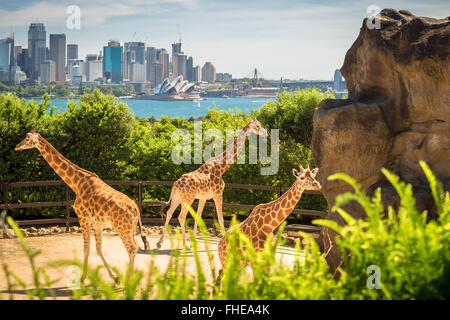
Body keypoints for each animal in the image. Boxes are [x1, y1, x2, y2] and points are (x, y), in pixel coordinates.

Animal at [14, 129, 149, 282]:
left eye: (27, 139)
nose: (17, 147)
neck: (76, 185)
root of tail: (136, 209)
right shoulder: (97, 222)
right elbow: (98, 248)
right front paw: (113, 277)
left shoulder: (82, 217)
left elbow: (86, 248)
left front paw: (83, 277)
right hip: (130, 229)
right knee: (136, 247)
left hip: (121, 228)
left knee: (131, 248)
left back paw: (129, 281)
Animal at [156, 118, 268, 250]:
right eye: (258, 126)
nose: (266, 133)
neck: (222, 167)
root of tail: (175, 185)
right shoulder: (218, 193)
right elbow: (220, 218)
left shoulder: (203, 197)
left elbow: (198, 216)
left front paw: (194, 241)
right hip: (188, 199)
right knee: (181, 216)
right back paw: (185, 245)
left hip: (177, 198)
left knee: (169, 213)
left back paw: (160, 243)